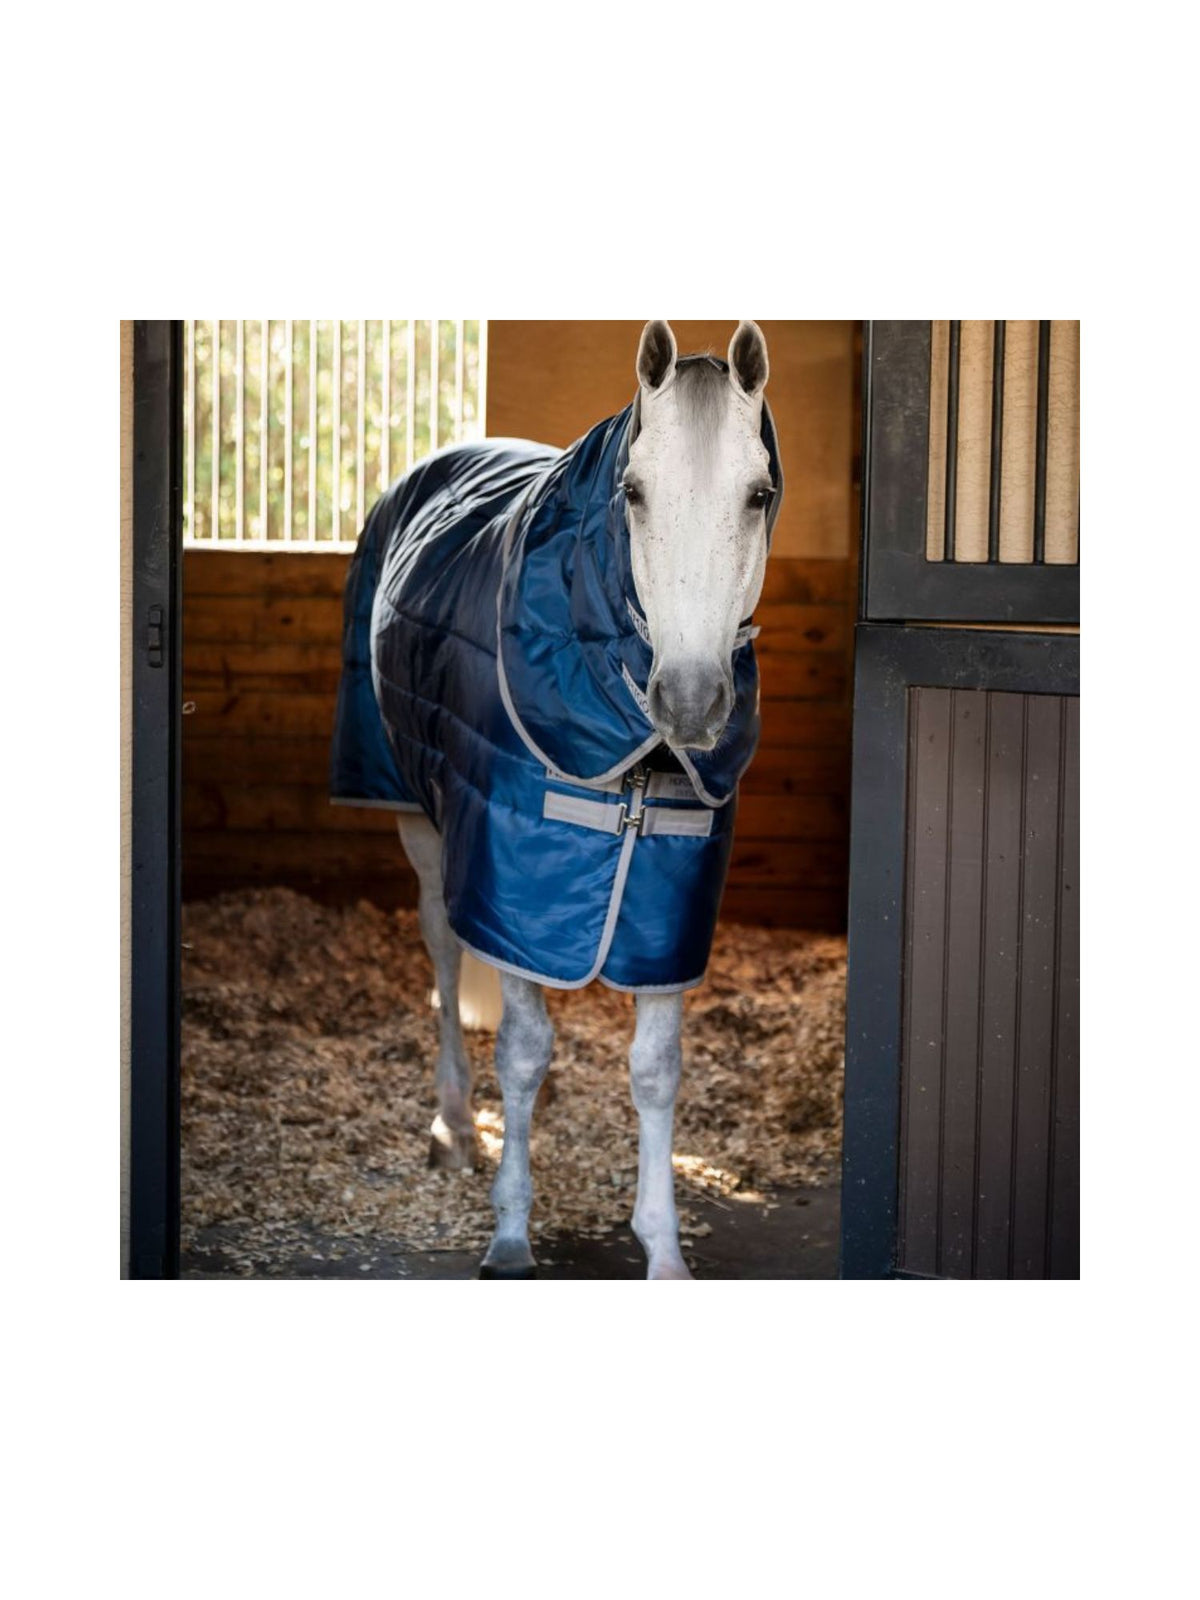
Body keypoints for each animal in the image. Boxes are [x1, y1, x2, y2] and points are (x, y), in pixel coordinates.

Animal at [330, 320, 783, 1278]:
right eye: (634, 492)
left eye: (759, 494)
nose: (691, 701)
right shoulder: (510, 881)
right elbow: (524, 1050)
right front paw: (509, 1231)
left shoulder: (666, 909)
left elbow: (656, 1067)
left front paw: (663, 1248)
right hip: (418, 817)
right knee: (444, 952)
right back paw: (458, 1127)